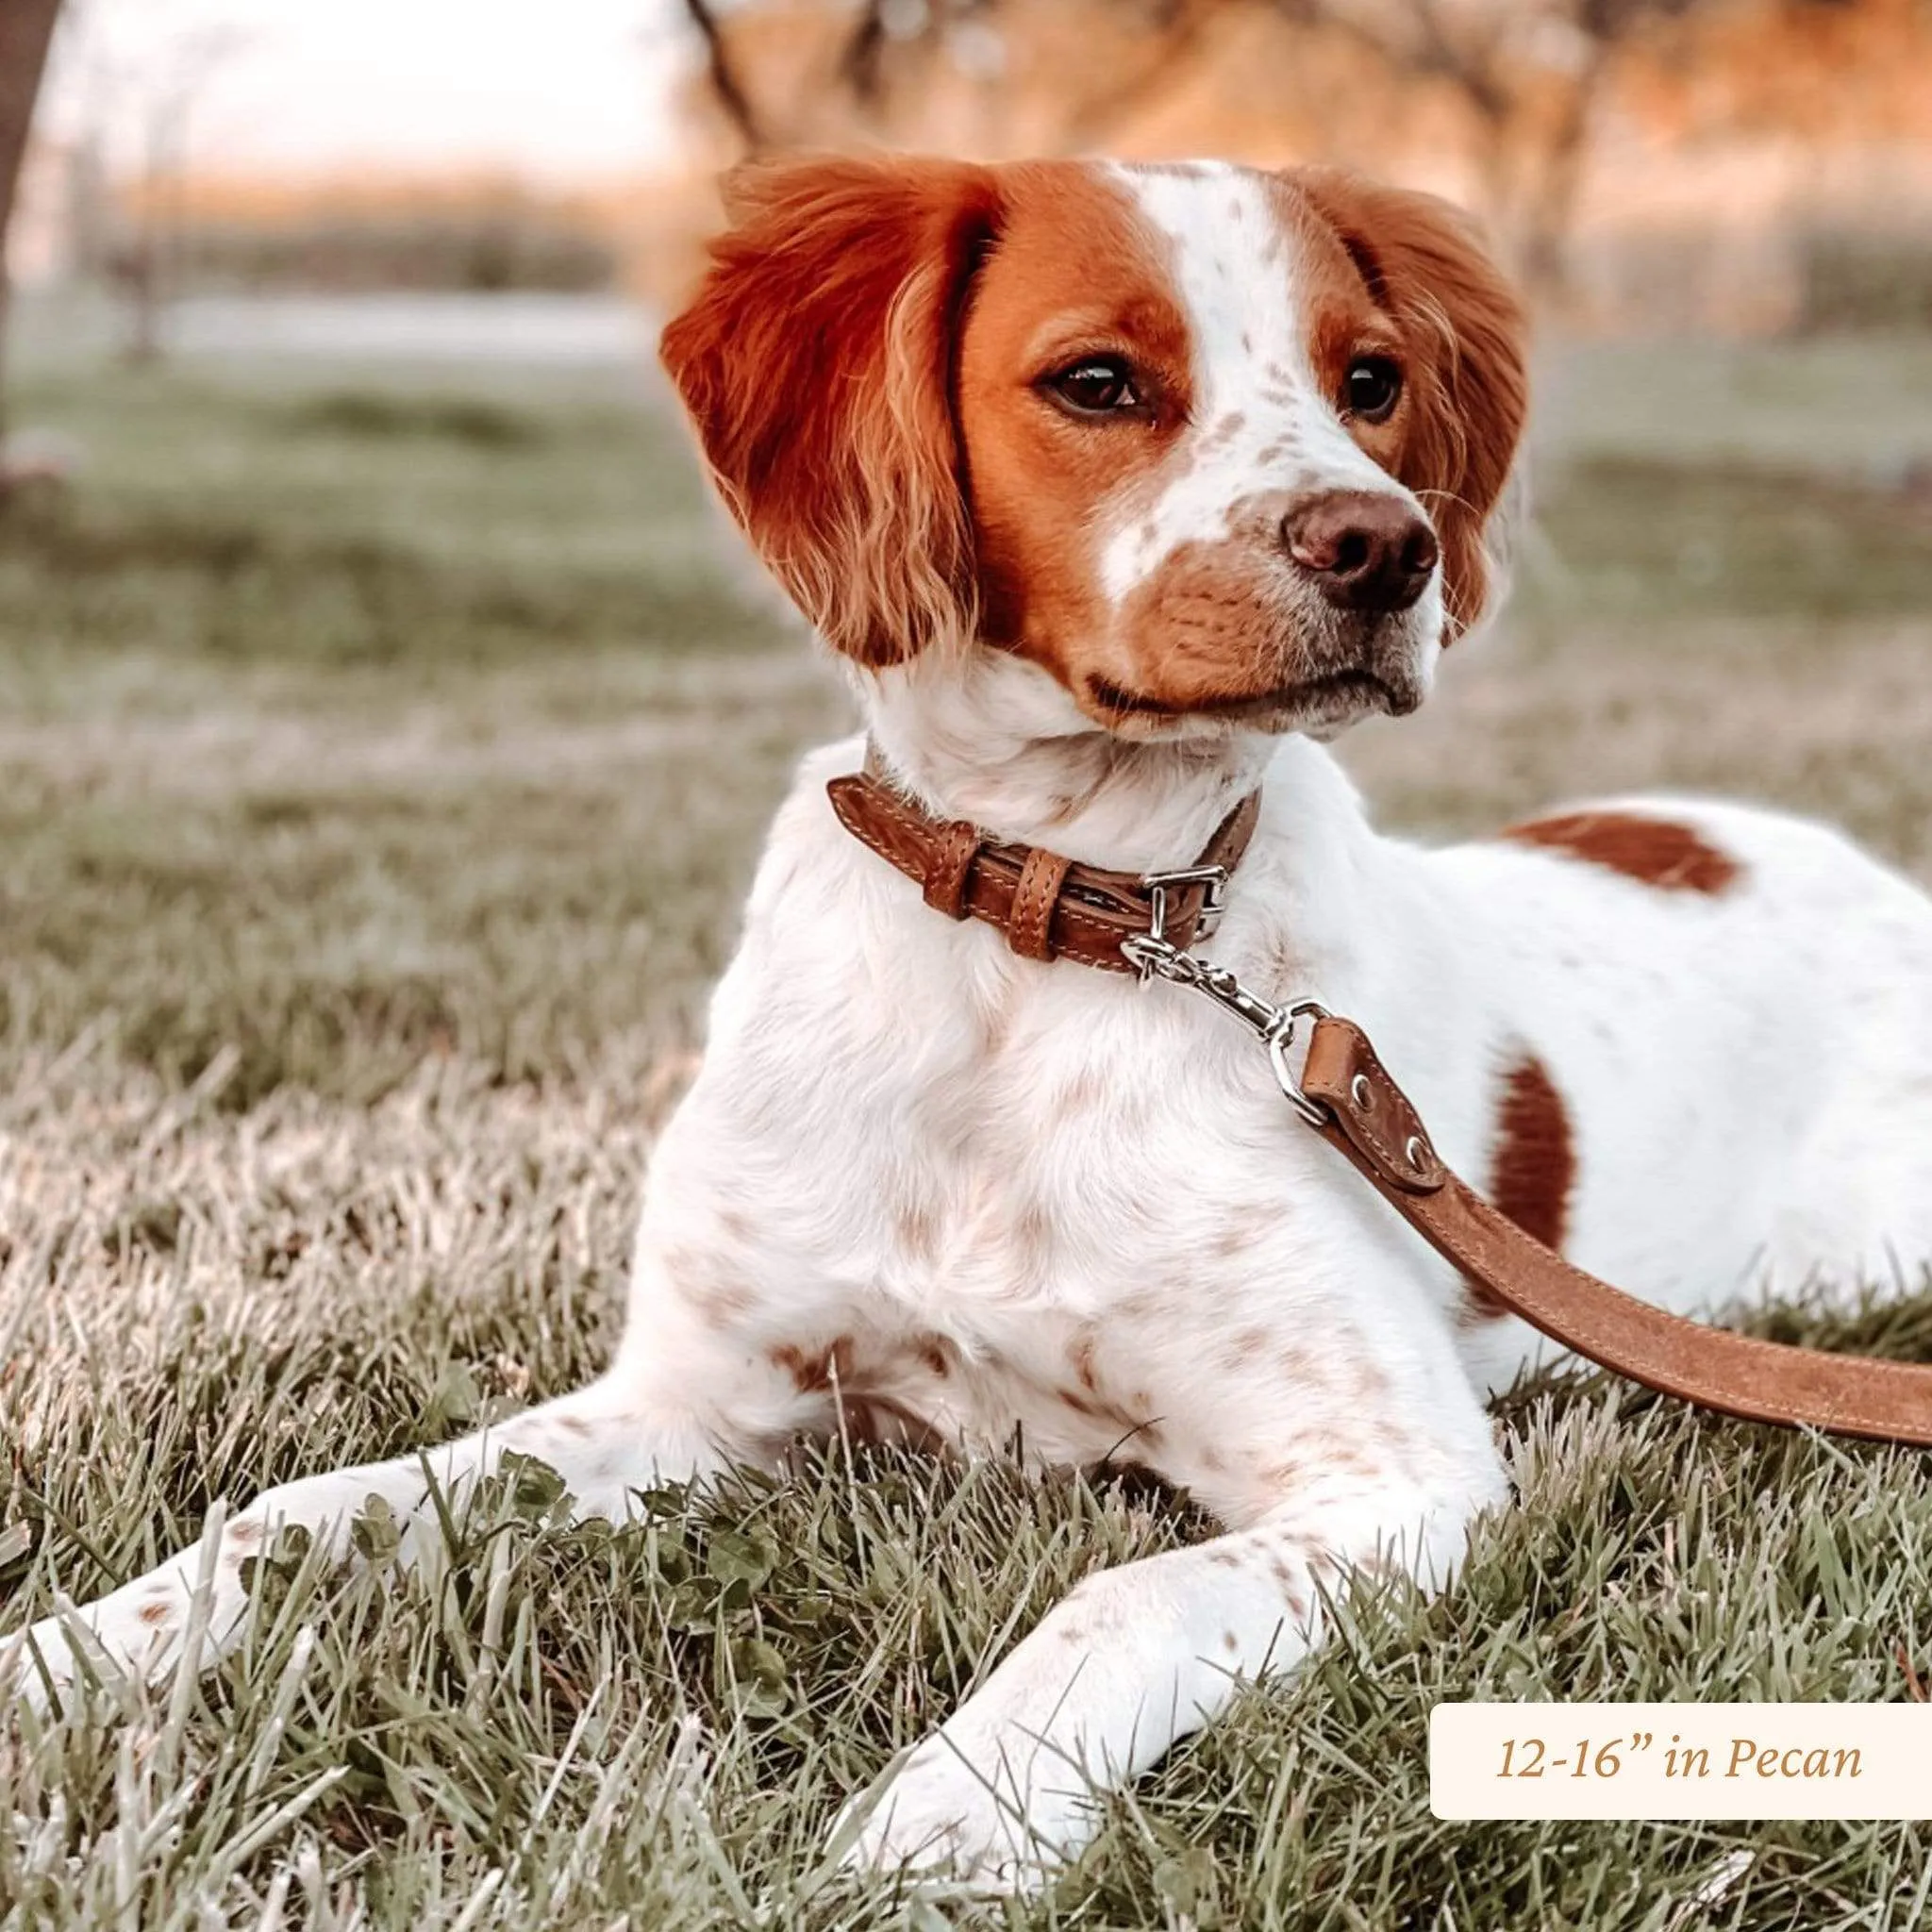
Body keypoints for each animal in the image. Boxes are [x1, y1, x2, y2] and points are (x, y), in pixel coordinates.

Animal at [11, 162, 1932, 1885]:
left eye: (1369, 379)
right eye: (1097, 382)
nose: (1385, 548)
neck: (1052, 928)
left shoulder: (1390, 1470)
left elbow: (1116, 1594)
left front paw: (945, 1824)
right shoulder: (695, 1398)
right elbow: (304, 1511)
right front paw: (68, 1654)